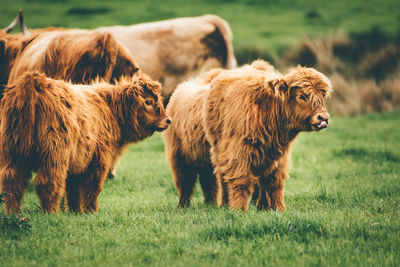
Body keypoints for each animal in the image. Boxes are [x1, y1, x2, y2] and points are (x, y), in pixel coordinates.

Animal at [0, 70, 170, 214]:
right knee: (48, 182)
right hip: (54, 155)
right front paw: (91, 211)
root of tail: (34, 80)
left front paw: (75, 212)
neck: (110, 109)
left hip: (12, 152)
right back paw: (52, 213)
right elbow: (92, 188)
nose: (168, 120)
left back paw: (13, 213)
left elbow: (73, 190)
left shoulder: (77, 164)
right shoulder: (99, 159)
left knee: (12, 182)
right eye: (148, 102)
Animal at [162, 60, 332, 211]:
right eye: (302, 96)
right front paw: (239, 210)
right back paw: (186, 206)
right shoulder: (238, 153)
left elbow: (274, 183)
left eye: (322, 95)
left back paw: (215, 204)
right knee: (186, 182)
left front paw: (276, 208)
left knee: (211, 181)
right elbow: (241, 181)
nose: (323, 118)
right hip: (181, 156)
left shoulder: (277, 158)